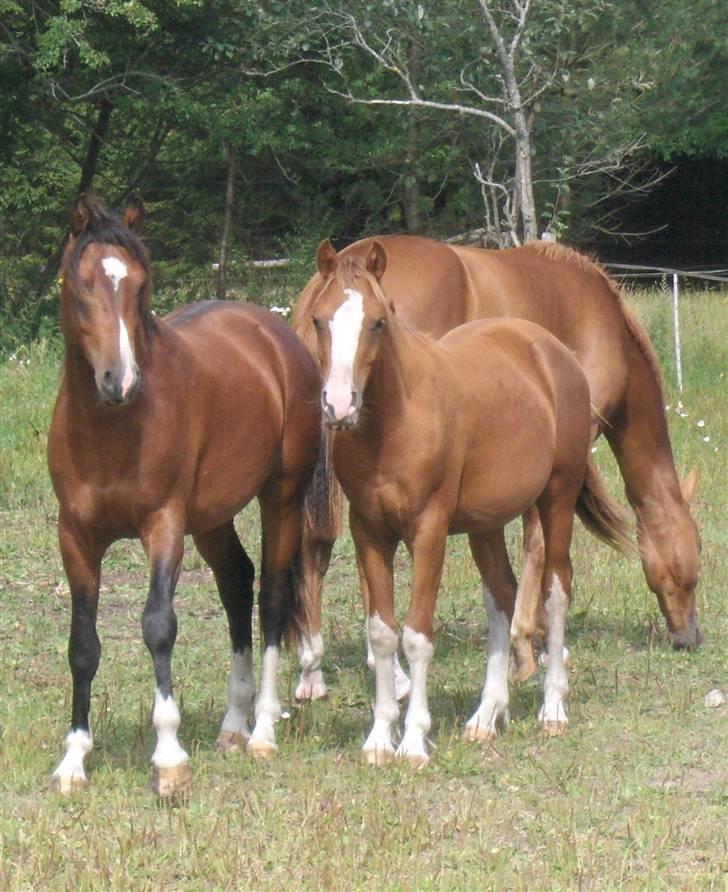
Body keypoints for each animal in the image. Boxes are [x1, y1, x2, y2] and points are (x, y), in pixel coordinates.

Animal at [45, 197, 318, 796]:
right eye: (80, 284)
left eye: (140, 286)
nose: (118, 380)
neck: (111, 430)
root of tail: (271, 331)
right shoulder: (75, 536)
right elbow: (82, 644)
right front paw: (74, 758)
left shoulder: (163, 525)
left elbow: (158, 626)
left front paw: (168, 757)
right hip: (212, 519)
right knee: (237, 583)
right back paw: (233, 725)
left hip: (282, 498)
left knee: (271, 599)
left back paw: (262, 730)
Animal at [292, 230, 704, 696]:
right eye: (695, 553)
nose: (690, 636)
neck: (599, 317)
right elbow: (538, 542)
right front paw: (535, 640)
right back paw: (388, 673)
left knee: (314, 545)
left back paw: (313, 671)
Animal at [308, 240, 632, 764]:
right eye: (320, 320)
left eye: (378, 321)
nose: (339, 404)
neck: (394, 425)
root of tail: (550, 349)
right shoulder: (369, 531)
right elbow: (382, 634)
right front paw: (379, 739)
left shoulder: (429, 531)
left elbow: (417, 637)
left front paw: (413, 742)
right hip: (486, 525)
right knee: (501, 597)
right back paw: (485, 717)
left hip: (556, 499)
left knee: (556, 590)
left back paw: (553, 709)